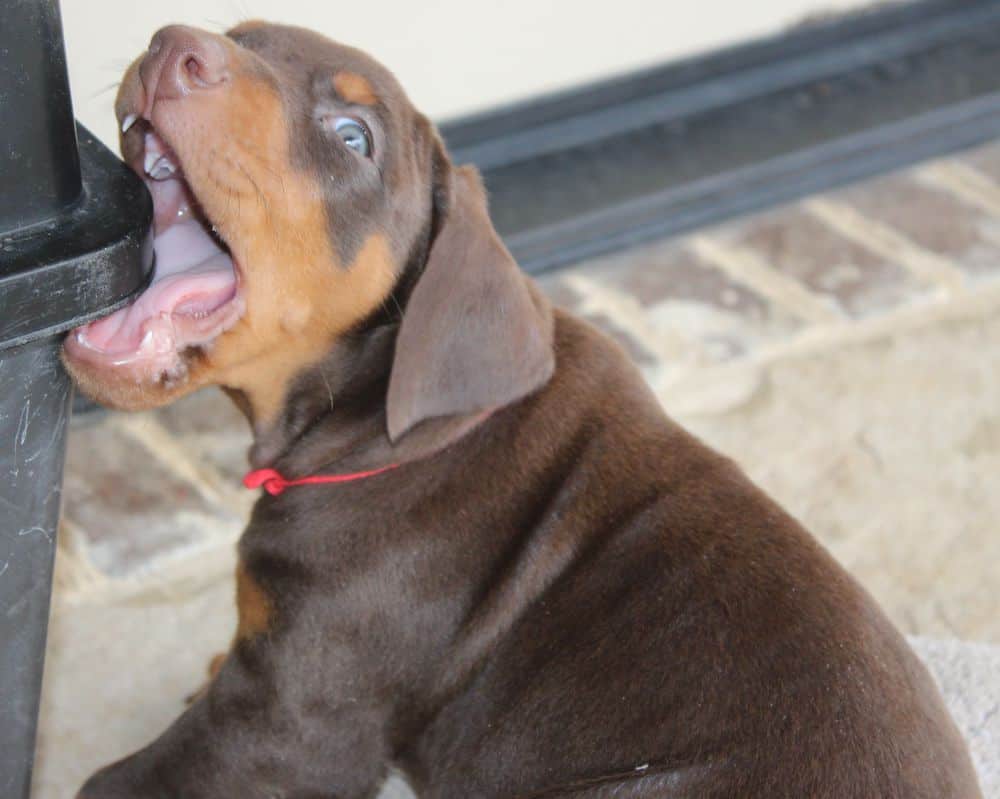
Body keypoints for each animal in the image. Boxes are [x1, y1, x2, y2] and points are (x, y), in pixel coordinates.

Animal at [64, 20, 984, 799]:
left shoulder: (287, 722)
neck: (387, 418)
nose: (173, 45)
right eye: (243, 35)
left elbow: (123, 778)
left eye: (354, 136)